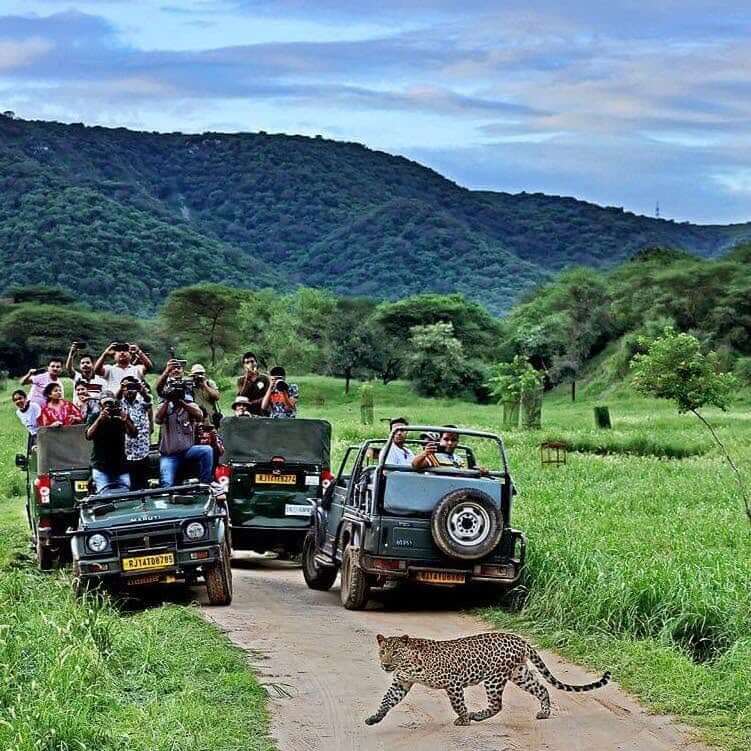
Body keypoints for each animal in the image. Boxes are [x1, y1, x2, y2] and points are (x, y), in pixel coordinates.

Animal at [365, 632, 610, 727]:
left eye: (396, 652)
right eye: (382, 652)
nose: (385, 664)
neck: (408, 664)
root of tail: (520, 639)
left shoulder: (452, 682)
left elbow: (458, 704)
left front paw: (464, 719)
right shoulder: (401, 683)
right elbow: (387, 701)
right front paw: (375, 718)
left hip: (494, 678)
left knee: (497, 705)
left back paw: (476, 716)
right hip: (520, 674)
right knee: (542, 689)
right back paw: (544, 712)